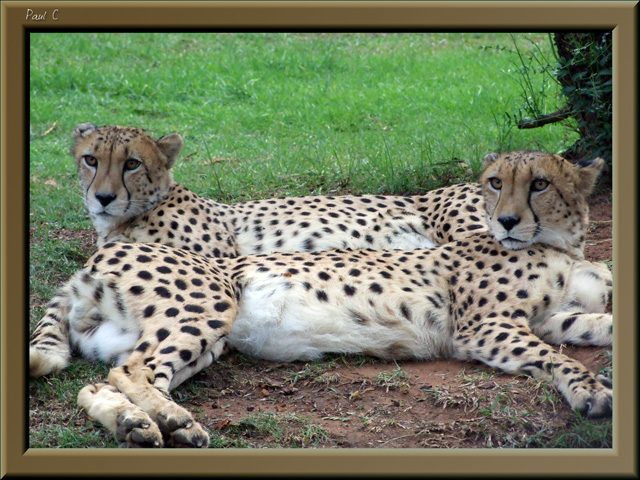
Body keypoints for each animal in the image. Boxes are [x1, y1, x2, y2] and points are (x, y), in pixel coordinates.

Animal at [31, 151, 616, 450]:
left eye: (540, 183)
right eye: (495, 183)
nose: (507, 220)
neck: (559, 243)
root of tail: (95, 258)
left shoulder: (553, 319)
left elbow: (596, 324)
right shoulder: (485, 328)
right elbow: (559, 358)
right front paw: (591, 391)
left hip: (173, 336)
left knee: (96, 381)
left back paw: (133, 425)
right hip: (210, 302)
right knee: (130, 370)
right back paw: (174, 421)